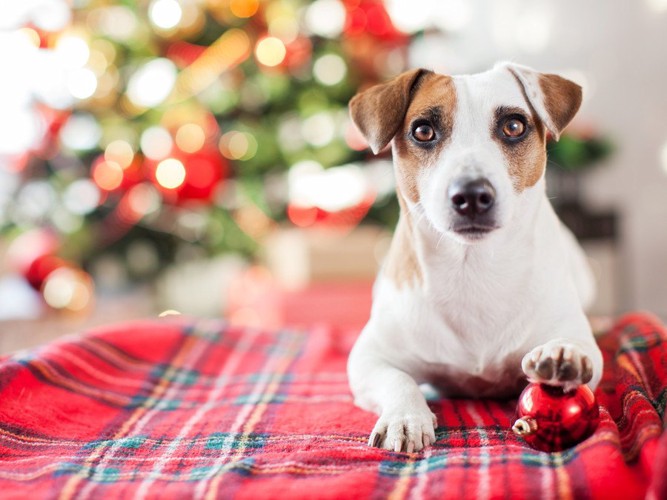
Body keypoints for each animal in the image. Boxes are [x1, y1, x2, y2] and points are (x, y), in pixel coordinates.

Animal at [350, 61, 604, 454]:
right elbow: (397, 380)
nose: (471, 195)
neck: (472, 268)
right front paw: (405, 417)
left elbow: (578, 347)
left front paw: (563, 356)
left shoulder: (578, 336)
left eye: (513, 126)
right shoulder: (369, 357)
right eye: (423, 131)